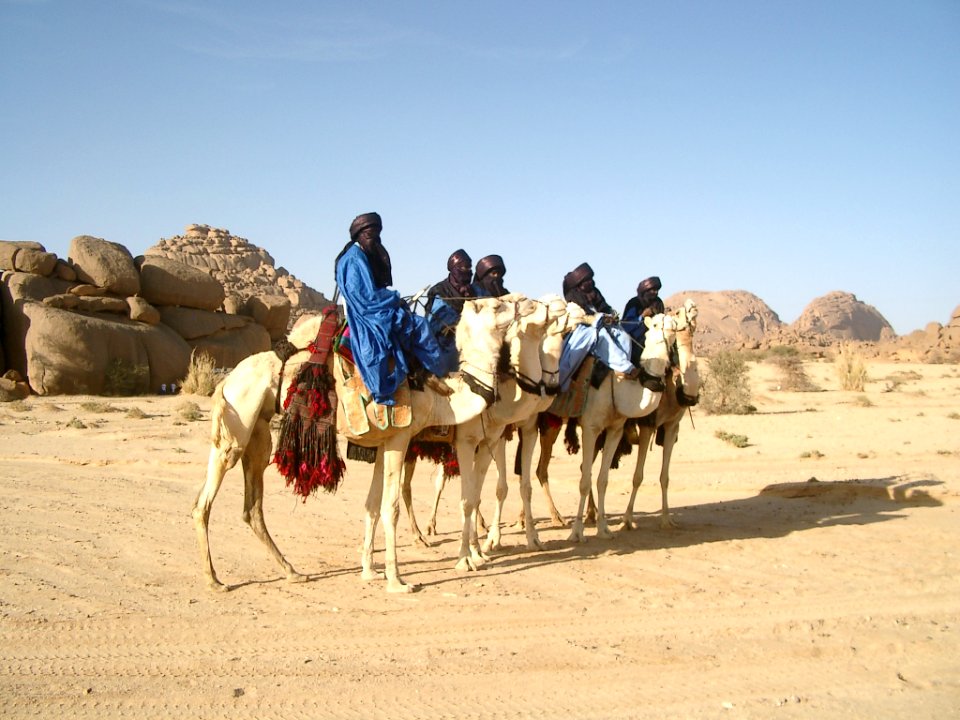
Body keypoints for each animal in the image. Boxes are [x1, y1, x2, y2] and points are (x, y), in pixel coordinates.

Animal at [188, 292, 532, 592]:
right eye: (498, 304)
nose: (526, 300)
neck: (440, 395)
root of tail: (226, 380)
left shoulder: (383, 442)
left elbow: (371, 505)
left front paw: (369, 571)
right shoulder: (400, 436)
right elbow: (390, 507)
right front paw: (398, 581)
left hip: (259, 432)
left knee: (252, 506)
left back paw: (292, 572)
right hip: (237, 423)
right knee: (205, 499)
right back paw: (214, 580)